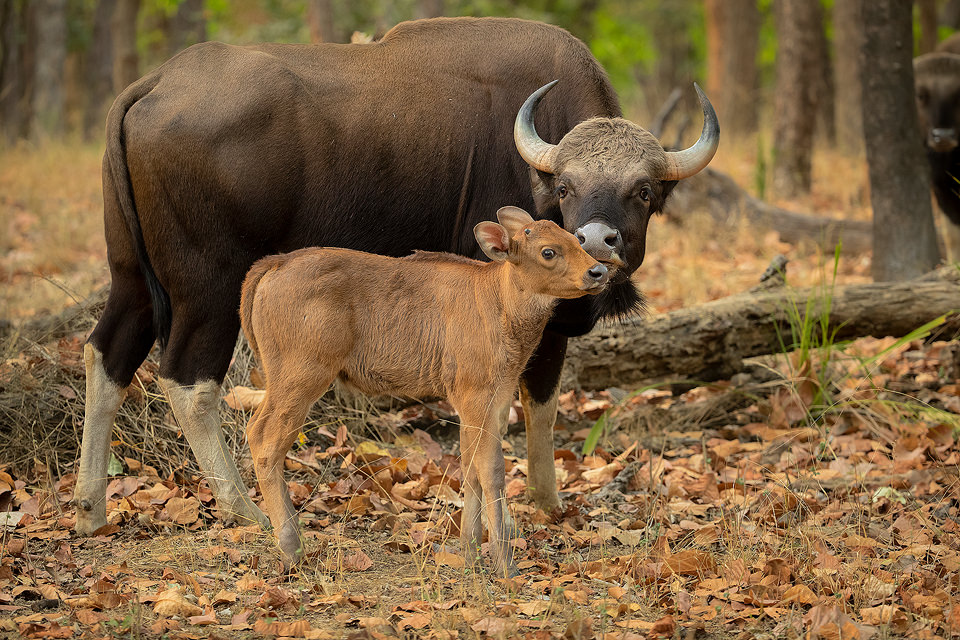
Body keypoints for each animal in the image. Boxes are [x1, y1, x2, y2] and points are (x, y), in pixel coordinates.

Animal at [240, 209, 608, 576]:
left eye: (576, 239)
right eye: (548, 251)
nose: (598, 271)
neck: (501, 307)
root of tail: (274, 264)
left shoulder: (492, 400)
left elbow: (469, 468)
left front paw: (471, 553)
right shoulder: (475, 397)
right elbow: (492, 472)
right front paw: (505, 564)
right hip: (302, 375)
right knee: (265, 441)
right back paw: (291, 548)